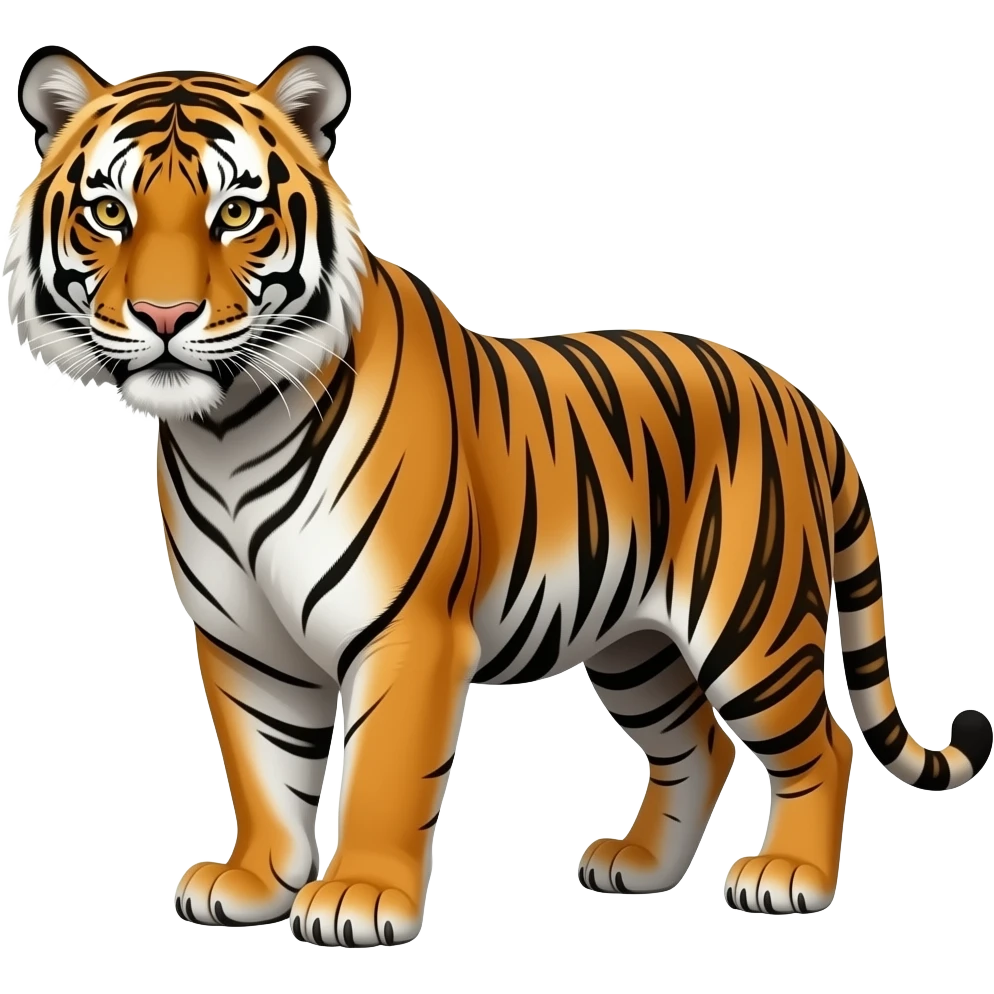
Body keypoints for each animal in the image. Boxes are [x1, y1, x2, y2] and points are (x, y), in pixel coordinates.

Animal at [7, 43, 991, 945]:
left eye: (236, 213)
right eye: (109, 212)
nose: (165, 319)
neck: (227, 430)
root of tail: (798, 398)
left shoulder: (407, 630)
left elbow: (383, 771)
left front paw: (360, 898)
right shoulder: (245, 641)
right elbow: (263, 770)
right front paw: (253, 883)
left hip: (752, 626)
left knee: (822, 744)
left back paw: (790, 878)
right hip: (636, 646)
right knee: (696, 745)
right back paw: (639, 867)